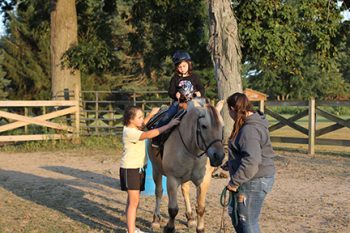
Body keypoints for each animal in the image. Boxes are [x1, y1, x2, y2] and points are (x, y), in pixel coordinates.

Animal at [147, 99, 224, 233]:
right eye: (204, 126)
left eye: (222, 126)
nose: (218, 156)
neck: (192, 148)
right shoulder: (172, 179)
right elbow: (173, 209)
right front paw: (169, 228)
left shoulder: (204, 181)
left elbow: (201, 208)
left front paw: (200, 228)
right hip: (156, 170)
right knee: (159, 192)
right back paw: (155, 220)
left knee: (185, 190)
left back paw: (190, 217)